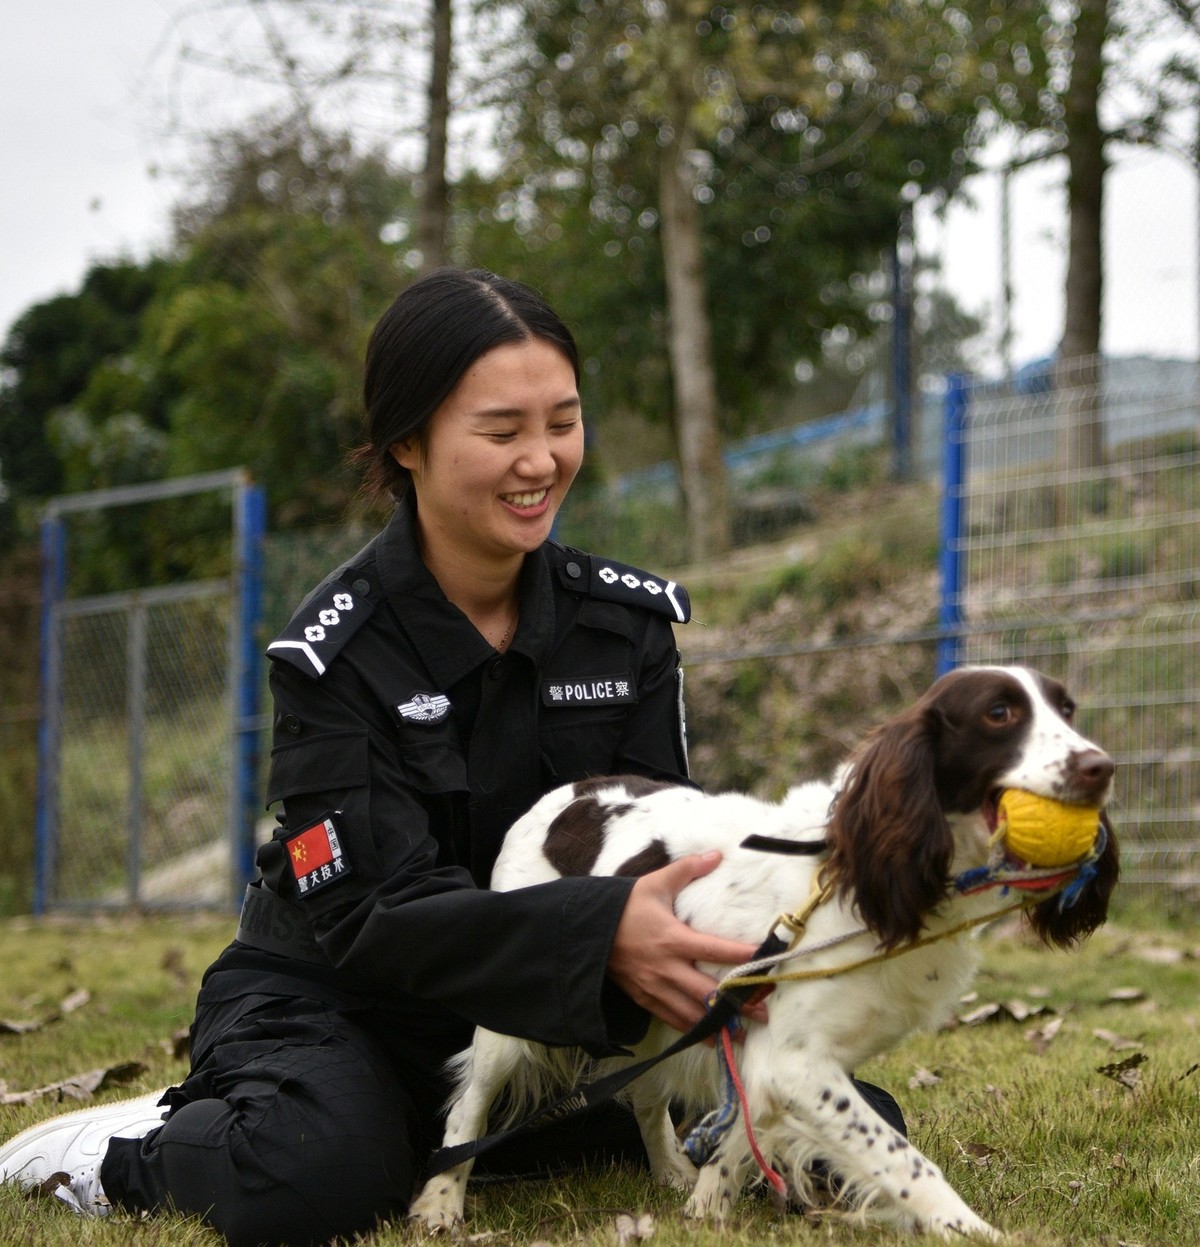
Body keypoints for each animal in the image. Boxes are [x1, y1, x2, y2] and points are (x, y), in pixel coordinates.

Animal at [406, 668, 1117, 1232]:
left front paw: (703, 1211)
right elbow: (901, 1159)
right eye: (999, 714)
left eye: (1068, 709)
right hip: (512, 1016)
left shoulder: (769, 1050)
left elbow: (739, 1144)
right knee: (469, 1108)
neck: (857, 871)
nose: (1100, 768)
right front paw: (969, 1229)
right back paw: (440, 1205)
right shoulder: (800, 1063)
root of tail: (567, 794)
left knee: (645, 1094)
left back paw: (668, 1170)